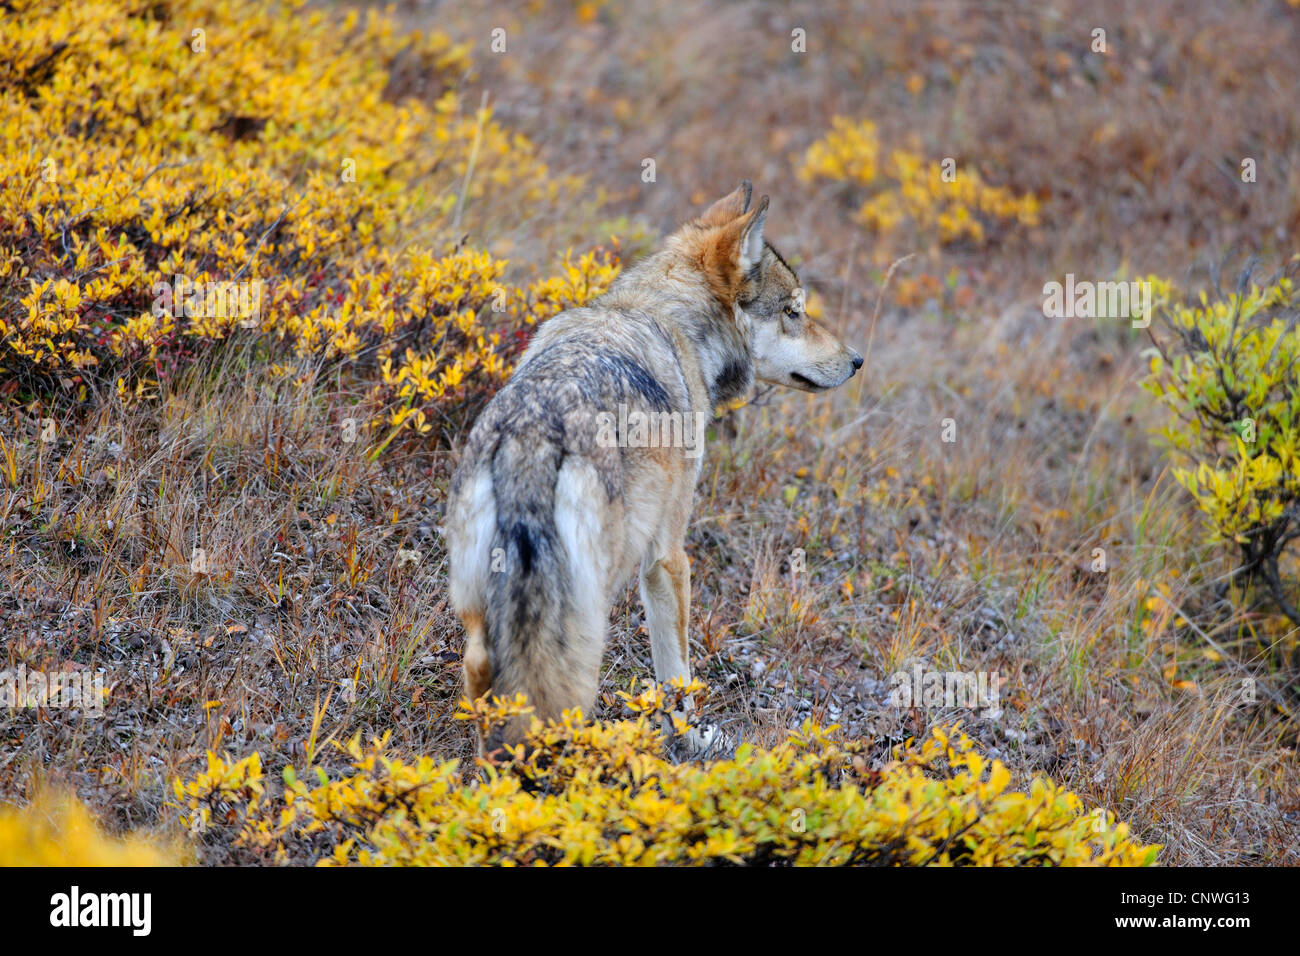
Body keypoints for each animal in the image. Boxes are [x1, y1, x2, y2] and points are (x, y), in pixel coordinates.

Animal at [446, 182, 862, 753]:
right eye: (794, 312)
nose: (857, 360)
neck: (665, 314)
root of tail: (528, 443)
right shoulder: (668, 558)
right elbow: (676, 675)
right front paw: (693, 741)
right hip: (584, 623)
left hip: (485, 617)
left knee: (480, 674)